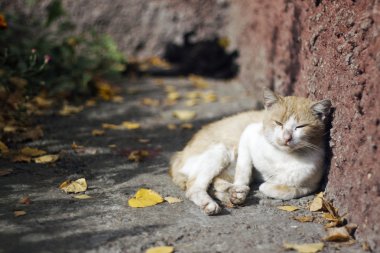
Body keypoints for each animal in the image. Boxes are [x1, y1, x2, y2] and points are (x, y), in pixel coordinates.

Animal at [168, 89, 332, 215]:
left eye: (301, 126)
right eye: (278, 123)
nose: (287, 138)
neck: (283, 156)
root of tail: (179, 154)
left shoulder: (313, 184)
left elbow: (291, 190)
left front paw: (263, 187)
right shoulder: (248, 134)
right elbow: (244, 169)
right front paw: (244, 187)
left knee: (216, 183)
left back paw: (231, 194)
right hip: (222, 151)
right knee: (194, 188)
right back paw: (214, 202)